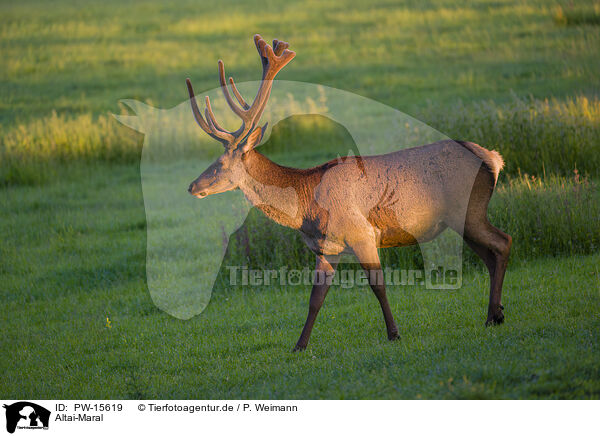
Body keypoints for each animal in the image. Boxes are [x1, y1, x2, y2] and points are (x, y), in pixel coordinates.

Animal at [186, 35, 510, 352]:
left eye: (219, 164)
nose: (192, 186)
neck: (306, 208)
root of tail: (493, 158)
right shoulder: (326, 248)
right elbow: (315, 298)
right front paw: (299, 346)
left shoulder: (361, 233)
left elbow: (378, 285)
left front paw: (394, 334)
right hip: (461, 220)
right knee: (490, 255)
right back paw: (496, 314)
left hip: (468, 211)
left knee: (503, 242)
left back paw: (493, 316)